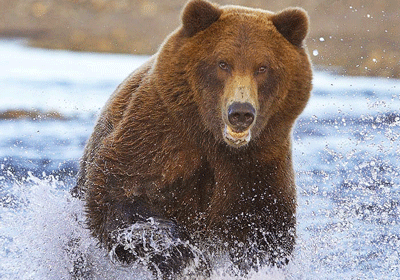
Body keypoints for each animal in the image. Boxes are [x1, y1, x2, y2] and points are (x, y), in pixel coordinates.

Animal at [73, 0, 314, 278]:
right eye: (223, 63)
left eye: (263, 67)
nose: (241, 112)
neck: (213, 139)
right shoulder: (157, 138)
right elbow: (120, 196)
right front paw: (187, 259)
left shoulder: (259, 164)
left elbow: (266, 230)